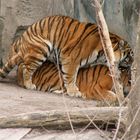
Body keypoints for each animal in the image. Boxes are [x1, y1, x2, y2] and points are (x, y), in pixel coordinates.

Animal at [0, 15, 133, 96]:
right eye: (130, 56)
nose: (132, 64)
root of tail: (23, 38)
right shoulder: (71, 59)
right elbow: (71, 76)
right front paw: (73, 91)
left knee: (23, 65)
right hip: (42, 48)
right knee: (26, 69)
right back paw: (29, 85)